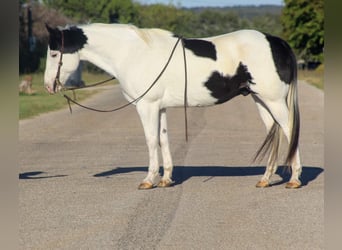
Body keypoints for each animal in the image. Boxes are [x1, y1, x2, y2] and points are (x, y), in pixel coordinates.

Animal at [43, 23, 302, 189]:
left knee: (289, 131)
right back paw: (266, 179)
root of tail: (276, 42)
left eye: (55, 54)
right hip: (261, 101)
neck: (133, 54)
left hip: (274, 101)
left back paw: (294, 179)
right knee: (274, 134)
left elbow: (151, 140)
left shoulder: (146, 106)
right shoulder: (160, 107)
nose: (48, 86)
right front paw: (166, 179)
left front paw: (149, 180)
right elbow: (163, 139)